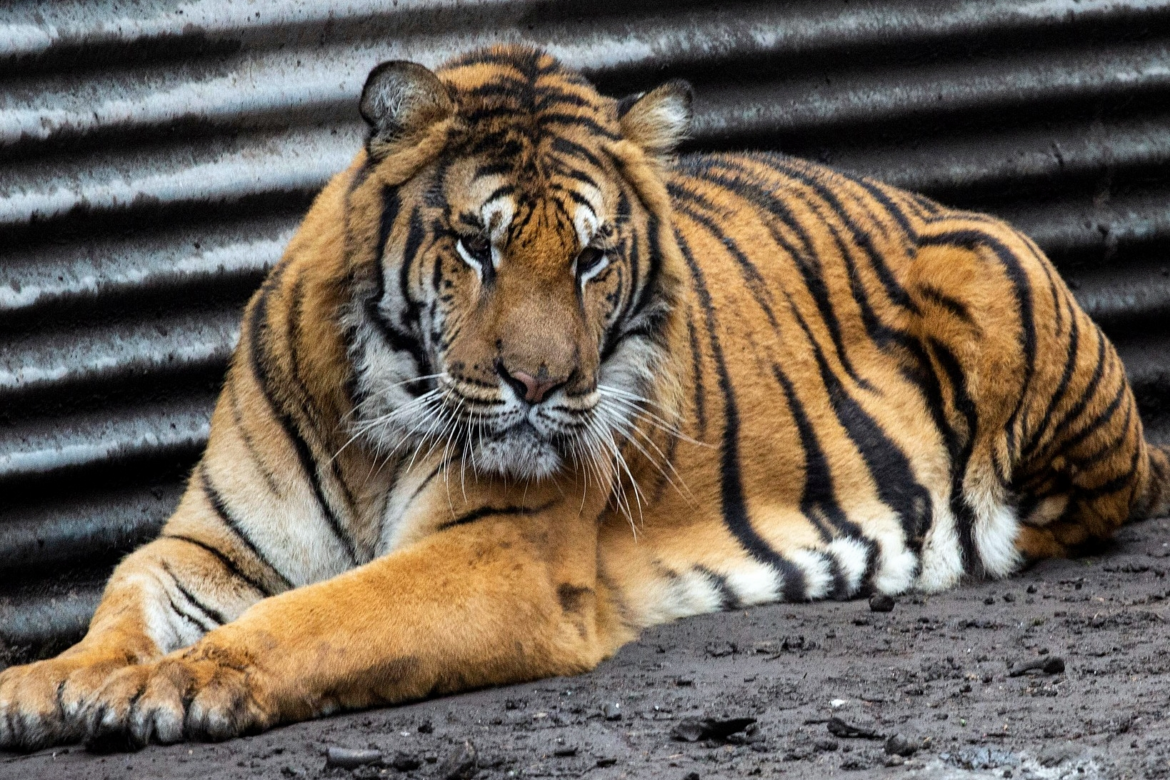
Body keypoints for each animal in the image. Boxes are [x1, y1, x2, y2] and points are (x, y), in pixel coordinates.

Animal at [2, 43, 1167, 752]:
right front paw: (53, 682)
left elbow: (322, 614)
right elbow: (127, 599)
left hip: (993, 272)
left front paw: (171, 687)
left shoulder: (506, 552)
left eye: (593, 258)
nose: (541, 385)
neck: (370, 428)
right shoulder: (212, 545)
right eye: (477, 247)